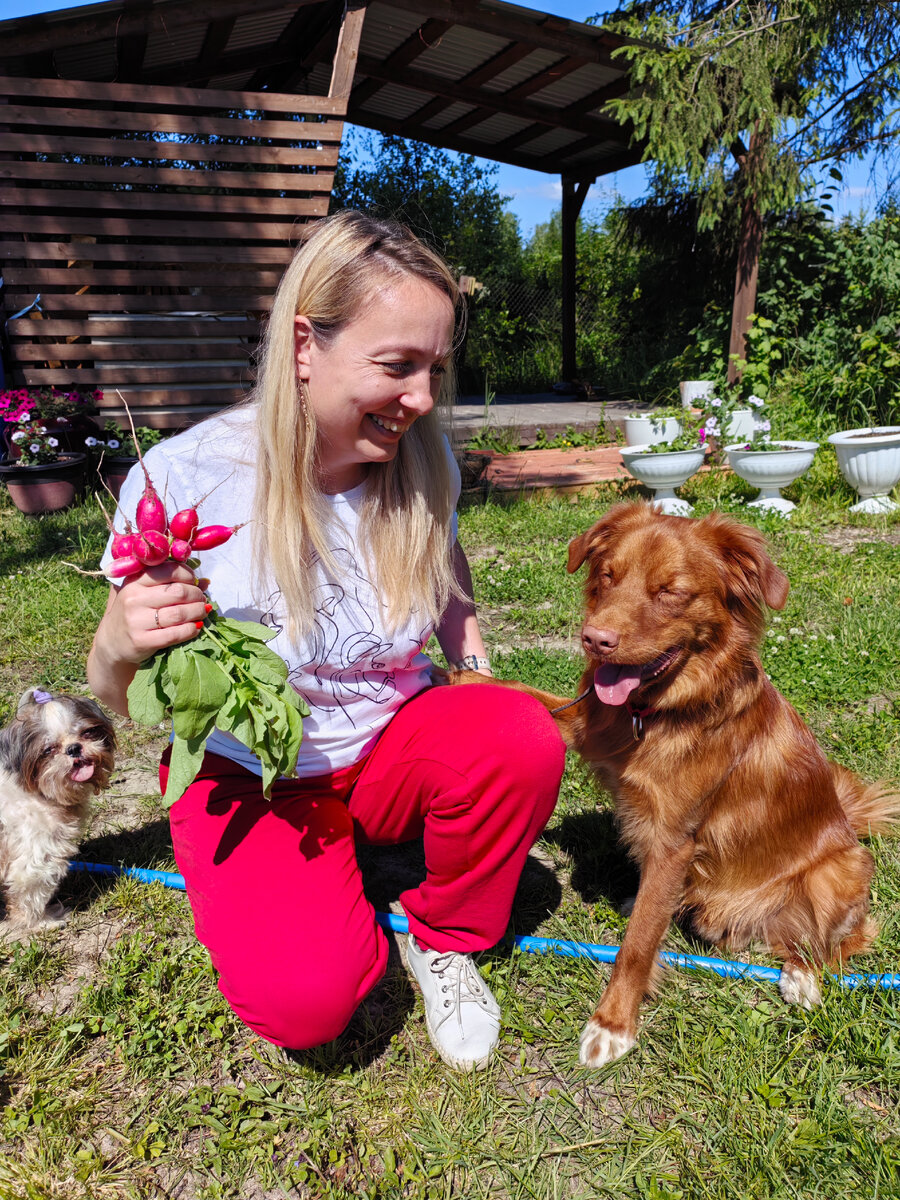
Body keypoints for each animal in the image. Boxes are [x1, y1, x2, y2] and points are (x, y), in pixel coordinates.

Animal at [0, 691, 115, 931]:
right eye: (48, 750)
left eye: (87, 732)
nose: (74, 748)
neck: (40, 794)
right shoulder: (36, 856)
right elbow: (30, 894)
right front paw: (41, 922)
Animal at [460, 501, 897, 1065]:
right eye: (608, 576)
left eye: (670, 591)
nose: (595, 639)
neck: (660, 711)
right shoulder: (590, 728)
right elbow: (528, 693)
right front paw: (460, 677)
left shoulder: (675, 840)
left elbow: (637, 944)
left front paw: (613, 1024)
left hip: (841, 870)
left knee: (842, 939)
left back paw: (802, 976)